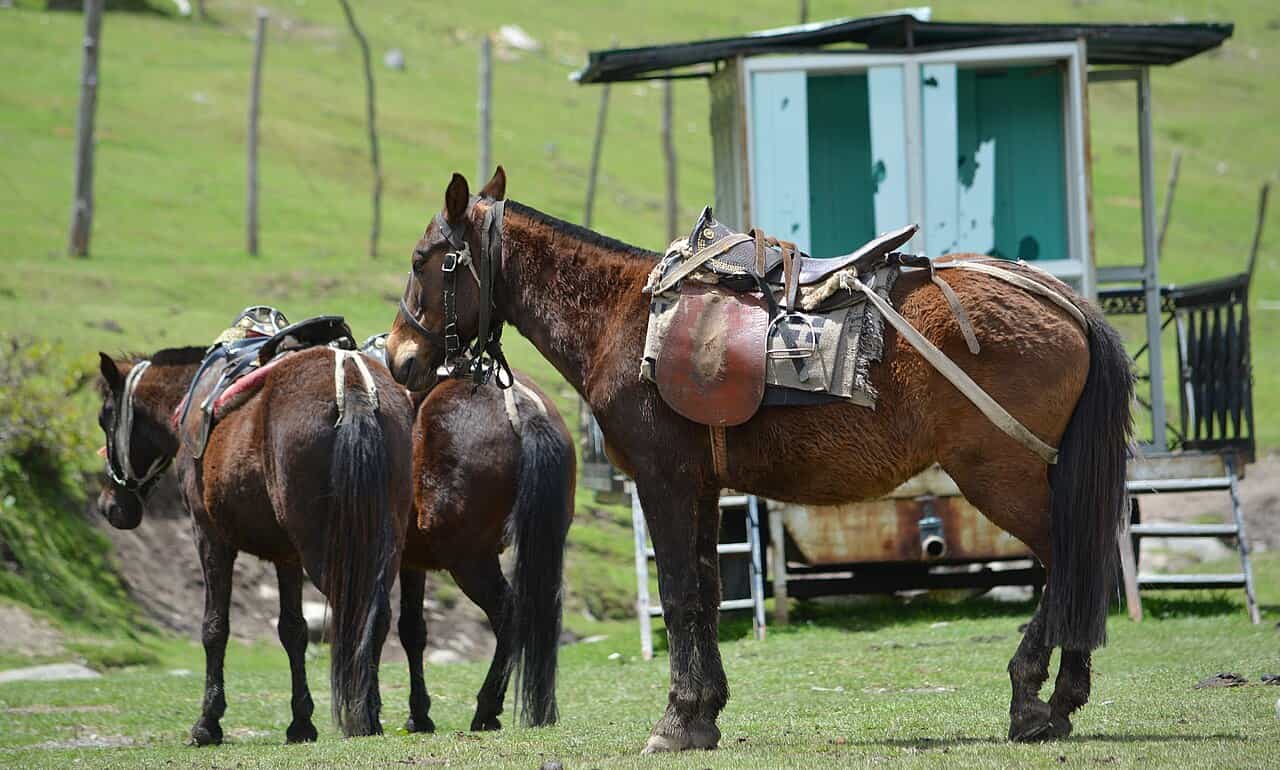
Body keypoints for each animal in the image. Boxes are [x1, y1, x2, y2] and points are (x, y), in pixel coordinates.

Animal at [95, 345, 415, 744]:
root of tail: (353, 385)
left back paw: (361, 714)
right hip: (384, 540)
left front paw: (208, 722)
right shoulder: (286, 555)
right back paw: (369, 712)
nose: (109, 506)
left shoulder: (209, 537)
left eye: (104, 417)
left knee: (355, 612)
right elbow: (293, 631)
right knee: (378, 613)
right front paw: (301, 722)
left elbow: (215, 627)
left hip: (328, 548)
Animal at [396, 371, 574, 732]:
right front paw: (419, 713)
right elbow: (413, 629)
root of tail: (523, 408)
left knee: (509, 613)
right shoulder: (410, 559)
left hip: (469, 559)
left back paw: (486, 709)